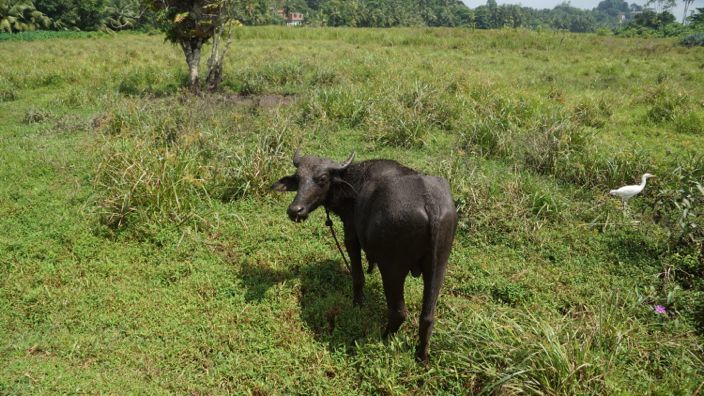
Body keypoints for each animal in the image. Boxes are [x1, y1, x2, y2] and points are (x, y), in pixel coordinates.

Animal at [272, 151, 460, 362]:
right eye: (298, 178)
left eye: (322, 179)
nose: (295, 210)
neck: (353, 184)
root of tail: (430, 204)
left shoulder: (351, 235)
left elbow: (358, 277)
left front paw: (358, 303)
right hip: (438, 265)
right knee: (427, 317)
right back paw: (422, 356)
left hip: (393, 269)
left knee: (398, 312)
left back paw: (383, 337)